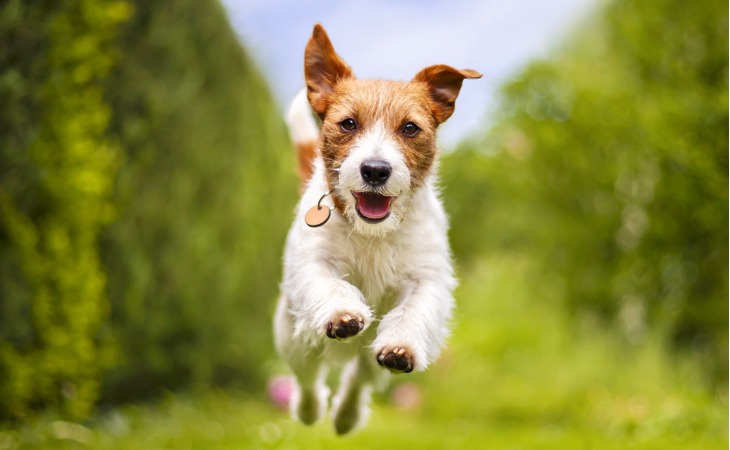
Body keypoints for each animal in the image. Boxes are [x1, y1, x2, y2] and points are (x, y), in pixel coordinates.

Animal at [272, 22, 478, 434]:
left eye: (410, 128)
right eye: (348, 123)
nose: (375, 170)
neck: (374, 233)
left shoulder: (427, 277)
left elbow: (413, 309)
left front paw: (401, 346)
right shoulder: (314, 262)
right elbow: (330, 284)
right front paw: (342, 313)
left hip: (366, 360)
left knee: (358, 379)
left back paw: (346, 417)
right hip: (293, 338)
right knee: (307, 376)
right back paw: (309, 411)